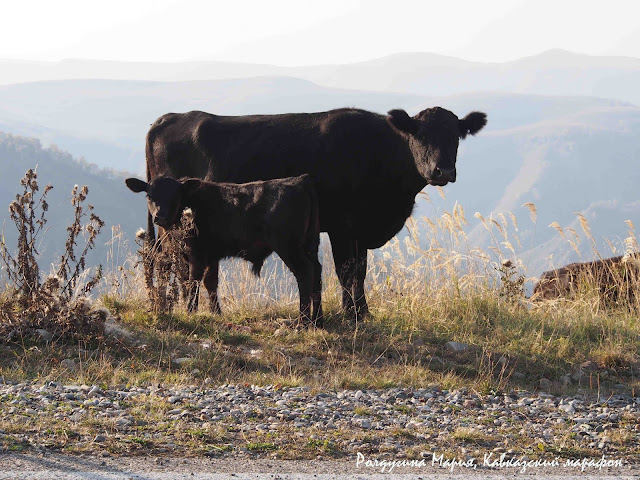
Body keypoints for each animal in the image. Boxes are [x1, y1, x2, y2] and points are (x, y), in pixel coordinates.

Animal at [127, 173, 322, 326]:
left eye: (175, 196)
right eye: (149, 196)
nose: (160, 217)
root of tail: (300, 180)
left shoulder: (197, 255)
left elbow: (194, 282)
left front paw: (191, 311)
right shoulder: (211, 256)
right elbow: (211, 282)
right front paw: (216, 312)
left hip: (289, 247)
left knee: (305, 271)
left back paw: (303, 322)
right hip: (310, 245)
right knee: (317, 271)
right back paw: (317, 320)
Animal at [144, 107, 484, 316]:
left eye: (455, 136)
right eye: (419, 135)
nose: (442, 170)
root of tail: (167, 118)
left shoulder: (358, 230)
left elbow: (359, 270)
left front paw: (362, 312)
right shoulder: (343, 226)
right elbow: (347, 270)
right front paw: (353, 314)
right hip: (169, 221)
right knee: (168, 261)